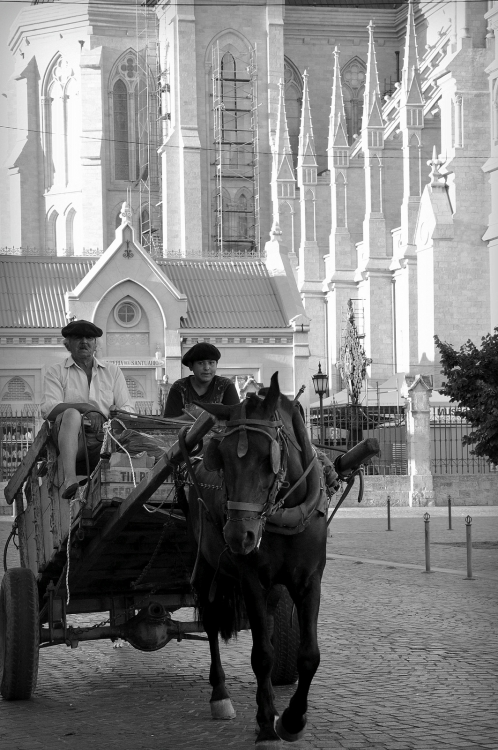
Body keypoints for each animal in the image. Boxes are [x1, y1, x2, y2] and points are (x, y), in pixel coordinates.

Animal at [185, 374, 328, 748]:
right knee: (211, 623)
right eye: (221, 457)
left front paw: (291, 719)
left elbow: (309, 655)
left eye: (269, 457)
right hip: (206, 567)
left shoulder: (310, 580)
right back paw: (220, 695)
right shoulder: (251, 580)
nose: (239, 535)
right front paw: (266, 724)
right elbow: (261, 655)